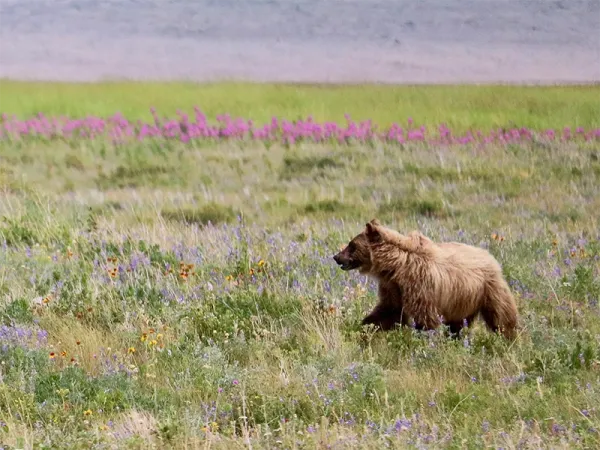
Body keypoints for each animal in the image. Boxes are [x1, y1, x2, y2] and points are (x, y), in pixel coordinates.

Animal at [332, 220, 520, 340]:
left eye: (351, 245)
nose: (336, 256)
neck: (395, 266)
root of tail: (490, 256)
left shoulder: (420, 283)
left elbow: (425, 317)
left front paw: (423, 339)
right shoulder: (393, 287)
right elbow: (388, 311)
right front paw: (363, 327)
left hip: (488, 288)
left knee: (501, 316)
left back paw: (509, 339)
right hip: (462, 299)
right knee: (457, 323)